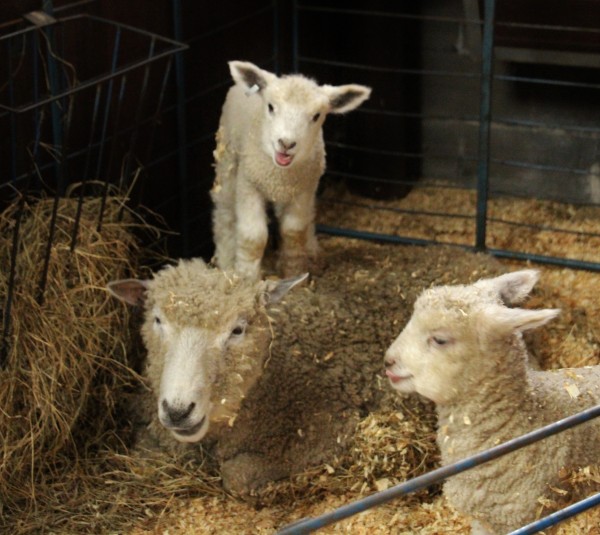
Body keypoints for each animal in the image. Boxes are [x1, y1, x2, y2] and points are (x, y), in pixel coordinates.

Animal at [211, 59, 370, 280]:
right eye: (270, 107)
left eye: (316, 116)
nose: (286, 143)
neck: (278, 175)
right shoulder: (249, 185)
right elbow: (253, 236)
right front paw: (247, 277)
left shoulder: (302, 190)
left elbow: (293, 231)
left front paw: (294, 272)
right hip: (227, 164)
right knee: (225, 213)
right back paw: (225, 261)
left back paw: (311, 249)